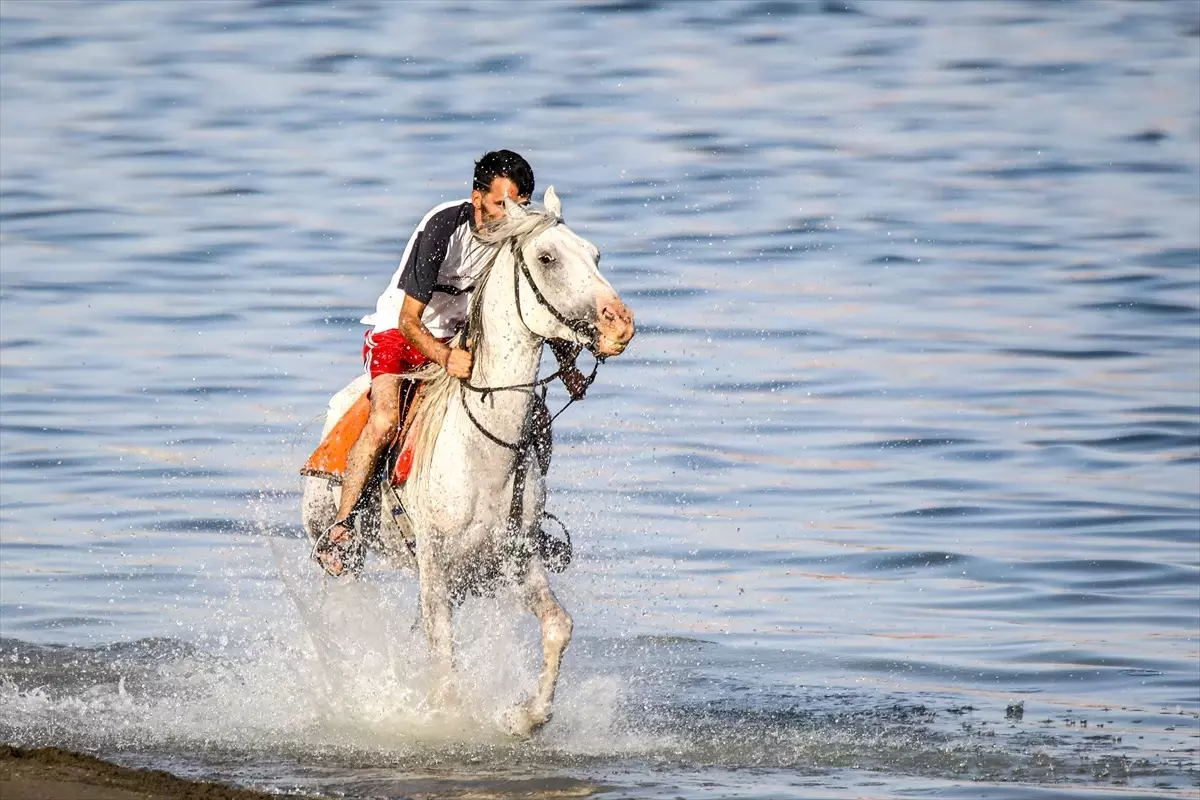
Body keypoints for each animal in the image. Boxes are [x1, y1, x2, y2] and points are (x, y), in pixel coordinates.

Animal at [300, 188, 638, 738]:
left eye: (595, 254)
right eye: (548, 258)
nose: (620, 323)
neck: (484, 456)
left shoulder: (517, 558)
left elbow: (557, 627)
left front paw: (526, 717)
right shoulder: (434, 564)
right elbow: (442, 649)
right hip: (343, 552)